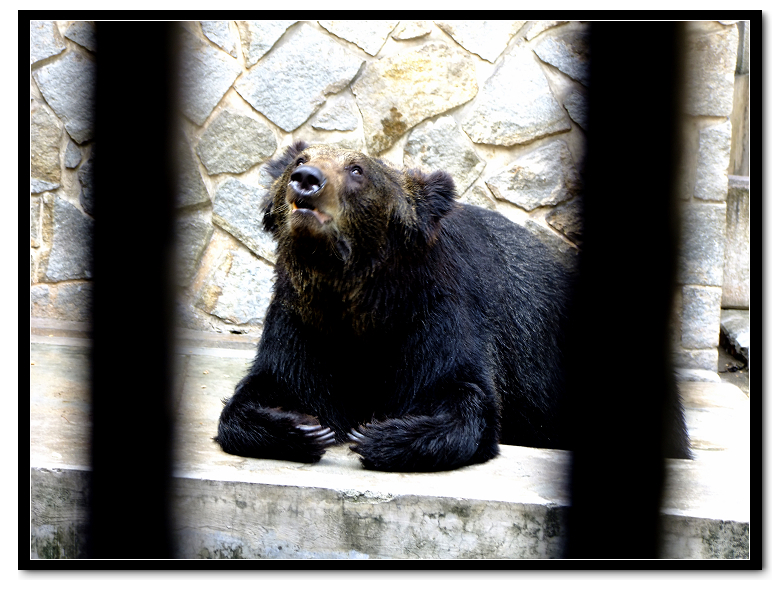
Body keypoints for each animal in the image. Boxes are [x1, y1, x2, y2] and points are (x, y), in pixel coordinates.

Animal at [212, 141, 684, 474]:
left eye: (356, 169)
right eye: (301, 158)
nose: (305, 178)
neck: (363, 296)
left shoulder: (435, 312)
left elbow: (460, 394)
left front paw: (379, 433)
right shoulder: (306, 321)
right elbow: (275, 385)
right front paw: (302, 426)